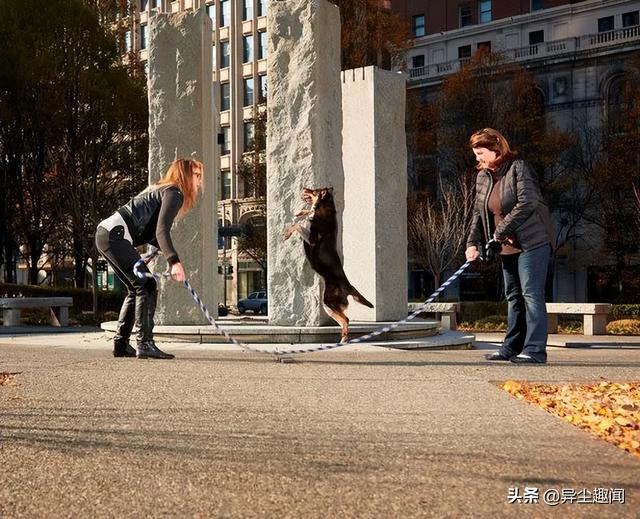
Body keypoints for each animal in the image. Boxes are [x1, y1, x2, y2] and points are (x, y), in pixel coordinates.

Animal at [282, 189, 372, 344]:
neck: (324, 211)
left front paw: (287, 234)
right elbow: (307, 215)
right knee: (344, 320)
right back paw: (342, 340)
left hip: (328, 302)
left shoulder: (311, 239)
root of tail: (349, 286)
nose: (304, 188)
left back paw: (343, 341)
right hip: (329, 306)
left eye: (313, 191)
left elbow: (297, 225)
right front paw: (301, 212)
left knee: (346, 319)